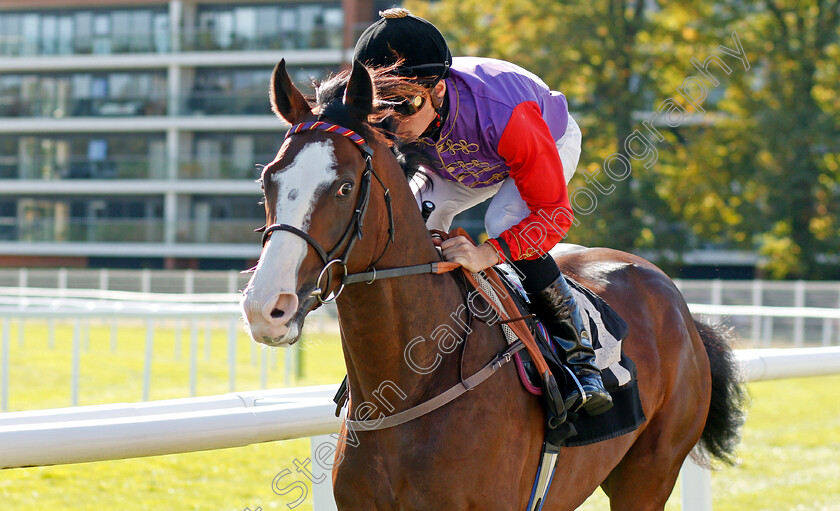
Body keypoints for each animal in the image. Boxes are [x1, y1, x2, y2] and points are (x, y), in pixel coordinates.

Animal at [240, 61, 744, 511]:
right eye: (267, 180)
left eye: (344, 187)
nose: (266, 308)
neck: (409, 388)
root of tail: (679, 304)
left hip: (649, 473)